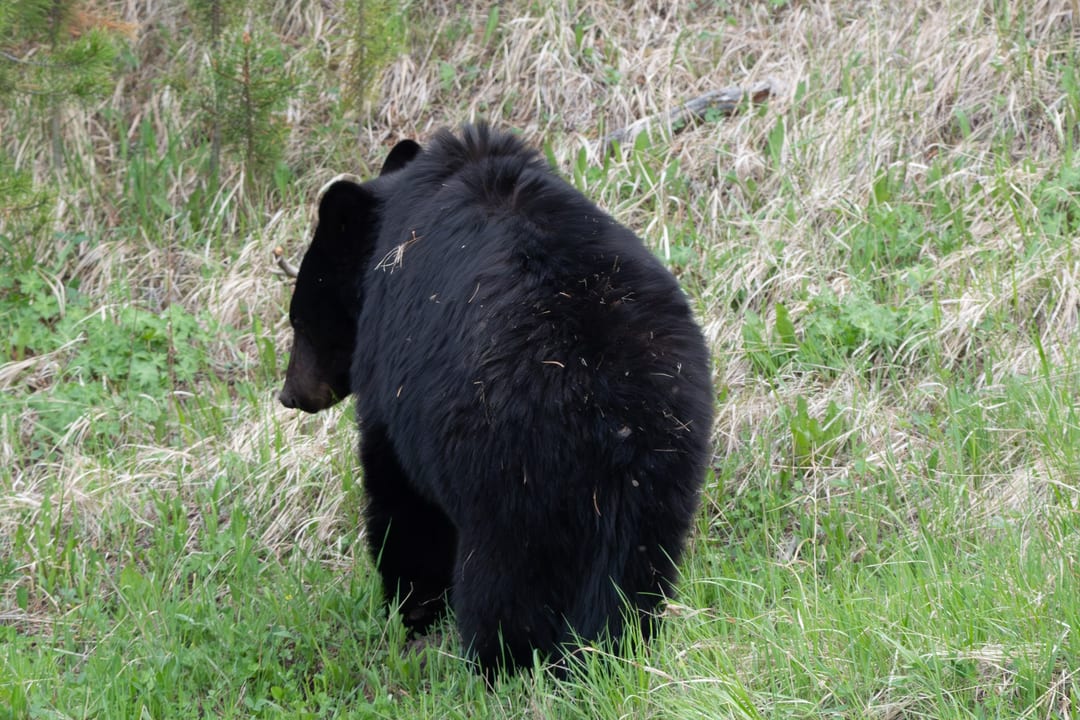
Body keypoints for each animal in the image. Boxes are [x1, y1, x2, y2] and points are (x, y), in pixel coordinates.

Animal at [279, 124, 714, 676]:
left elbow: (398, 494)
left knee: (503, 586)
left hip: (506, 477)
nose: (289, 395)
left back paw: (499, 663)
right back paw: (617, 646)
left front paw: (410, 612)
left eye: (298, 317)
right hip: (667, 466)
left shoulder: (392, 382)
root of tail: (614, 414)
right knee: (638, 568)